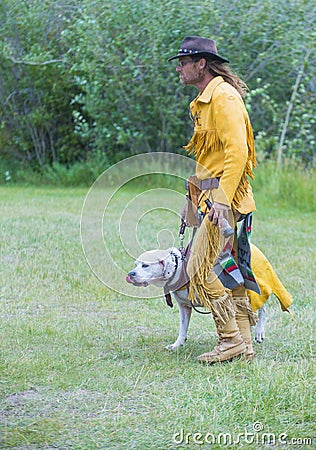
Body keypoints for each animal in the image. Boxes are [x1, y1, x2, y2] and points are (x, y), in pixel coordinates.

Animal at [125, 244, 292, 350]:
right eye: (136, 264)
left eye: (145, 265)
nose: (130, 274)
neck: (180, 269)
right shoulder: (184, 307)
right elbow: (183, 328)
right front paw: (177, 344)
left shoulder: (219, 302)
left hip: (254, 290)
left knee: (262, 309)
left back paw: (259, 333)